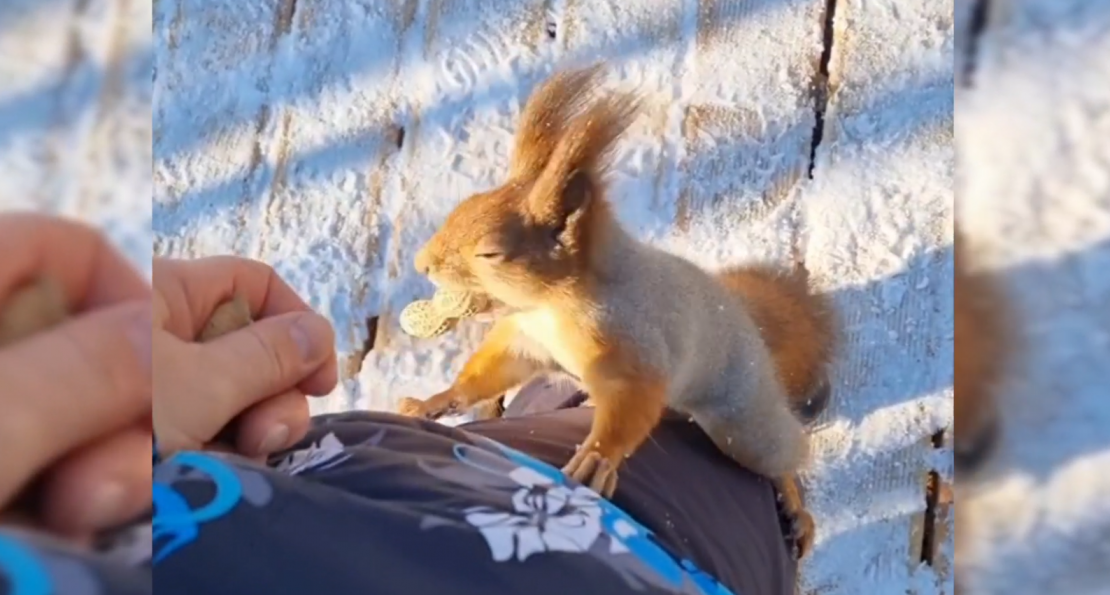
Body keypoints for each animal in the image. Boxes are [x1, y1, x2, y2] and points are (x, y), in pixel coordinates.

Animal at [396, 65, 838, 558]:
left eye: (491, 253)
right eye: (462, 207)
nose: (422, 264)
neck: (548, 309)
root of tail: (749, 325)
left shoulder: (633, 342)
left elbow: (632, 401)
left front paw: (597, 458)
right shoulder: (526, 342)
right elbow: (491, 373)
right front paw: (435, 401)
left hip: (743, 420)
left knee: (784, 454)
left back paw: (796, 507)